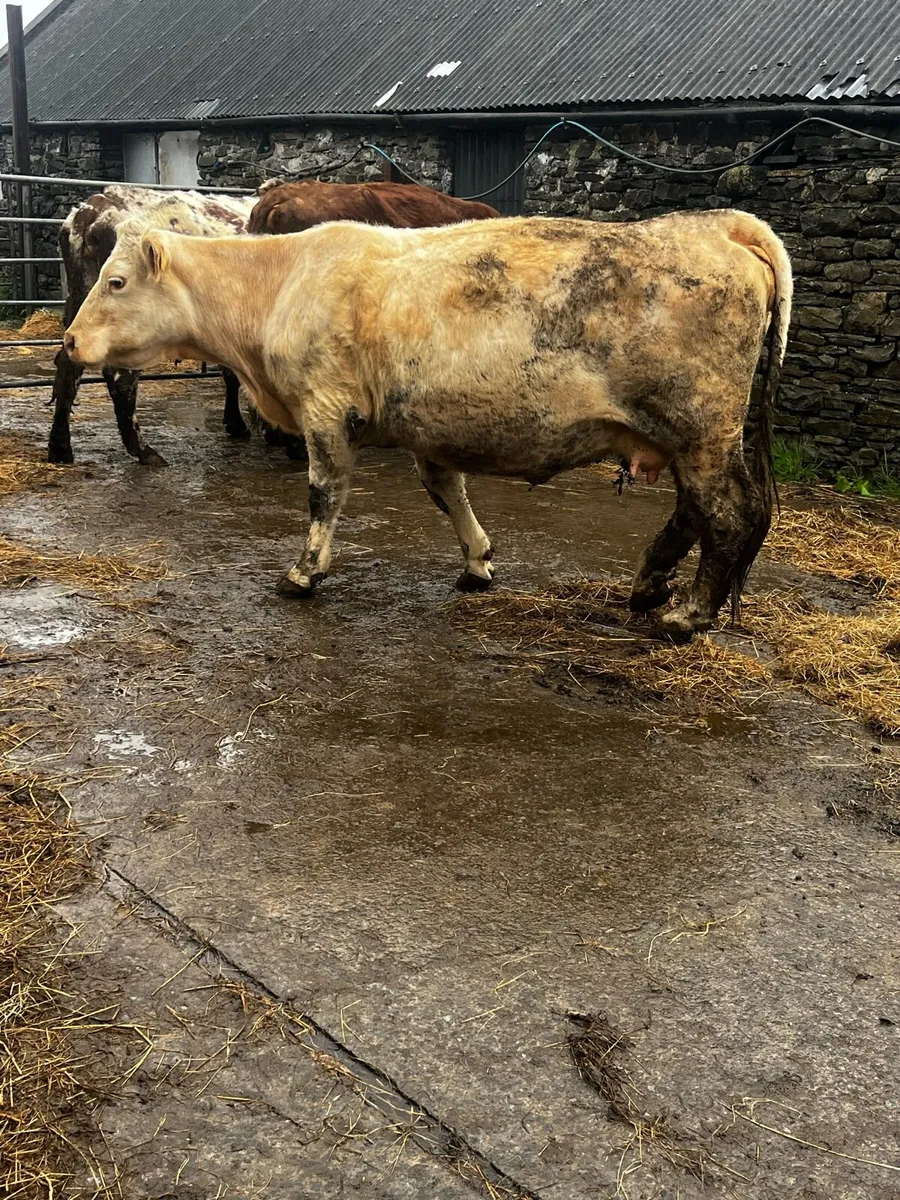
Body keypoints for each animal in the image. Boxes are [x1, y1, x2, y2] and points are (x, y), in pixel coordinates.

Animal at [48, 185, 256, 466]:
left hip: (81, 304)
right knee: (121, 380)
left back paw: (60, 447)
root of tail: (91, 213)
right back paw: (144, 450)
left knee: (67, 368)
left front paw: (237, 423)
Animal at [63, 210, 792, 642]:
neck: (283, 282)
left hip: (700, 430)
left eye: (117, 281)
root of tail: (717, 224)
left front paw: (303, 572)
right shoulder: (427, 428)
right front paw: (478, 561)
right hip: (688, 437)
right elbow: (448, 491)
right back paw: (648, 586)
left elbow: (325, 495)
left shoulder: (325, 410)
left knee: (725, 515)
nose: (67, 340)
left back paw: (685, 614)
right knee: (695, 514)